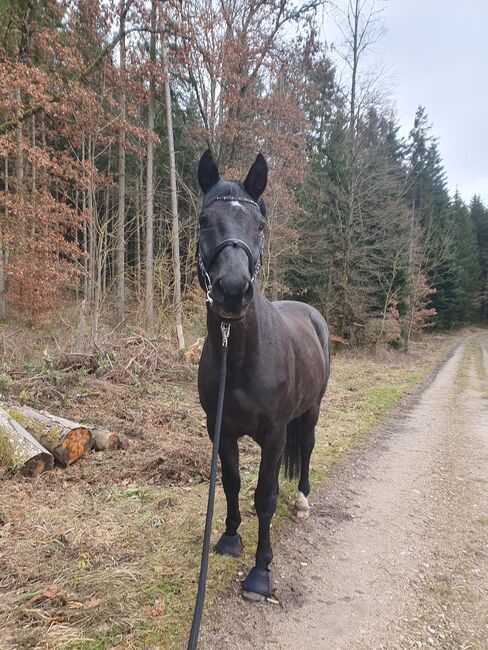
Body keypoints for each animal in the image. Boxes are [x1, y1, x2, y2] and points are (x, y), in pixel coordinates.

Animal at [196, 148, 330, 596]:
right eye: (204, 221)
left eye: (259, 225)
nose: (232, 291)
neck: (239, 357)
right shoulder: (220, 428)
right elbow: (232, 483)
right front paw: (230, 537)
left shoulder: (274, 434)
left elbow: (265, 496)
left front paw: (260, 570)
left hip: (311, 411)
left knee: (307, 447)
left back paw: (303, 499)